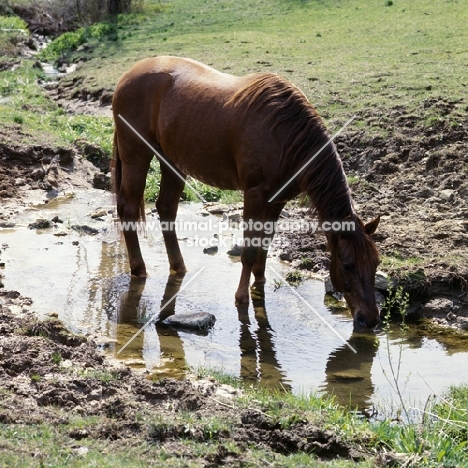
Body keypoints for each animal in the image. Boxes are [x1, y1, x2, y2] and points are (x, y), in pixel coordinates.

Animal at [112, 56, 380, 330]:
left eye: (376, 263)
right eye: (347, 266)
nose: (370, 319)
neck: (285, 134)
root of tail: (128, 75)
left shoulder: (276, 200)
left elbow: (265, 242)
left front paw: (259, 283)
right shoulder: (254, 194)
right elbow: (250, 249)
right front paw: (242, 297)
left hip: (172, 162)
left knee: (166, 208)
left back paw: (179, 267)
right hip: (136, 155)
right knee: (128, 208)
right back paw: (139, 269)